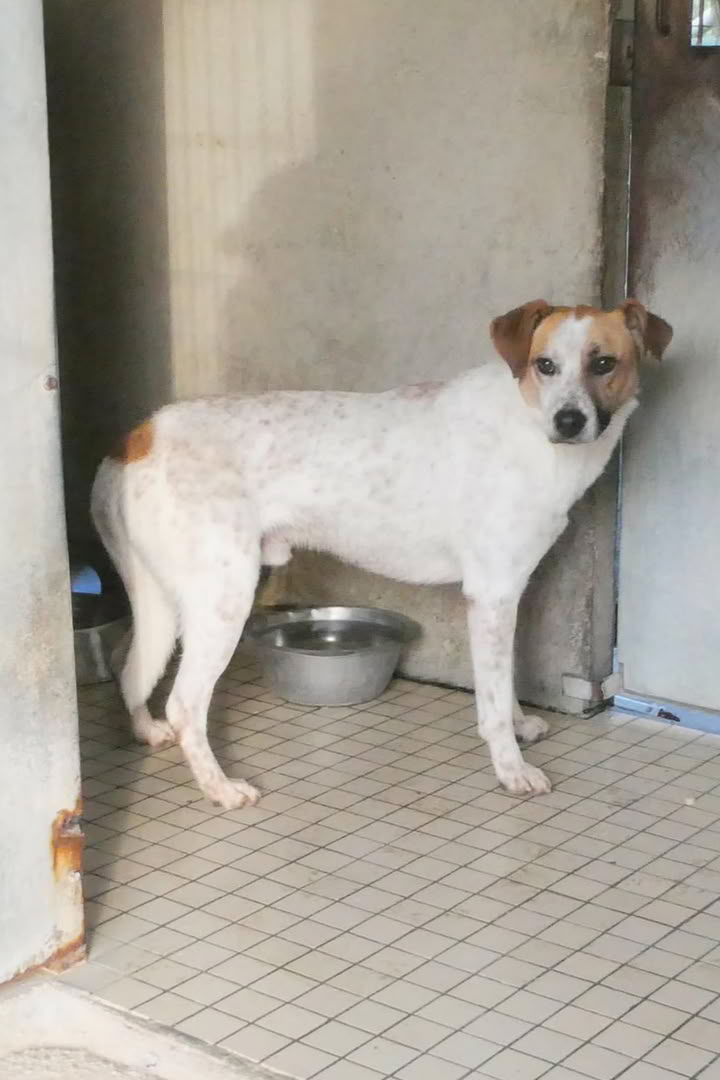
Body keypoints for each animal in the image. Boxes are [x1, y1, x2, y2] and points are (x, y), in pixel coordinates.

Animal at [91, 299, 672, 809]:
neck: (528, 425)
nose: (569, 421)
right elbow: (490, 703)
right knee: (185, 703)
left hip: (166, 600)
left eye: (604, 363)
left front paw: (518, 727)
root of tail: (139, 436)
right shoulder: (491, 595)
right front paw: (510, 769)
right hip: (223, 598)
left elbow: (503, 681)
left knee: (126, 663)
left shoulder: (505, 595)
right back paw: (220, 788)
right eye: (544, 365)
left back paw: (147, 730)